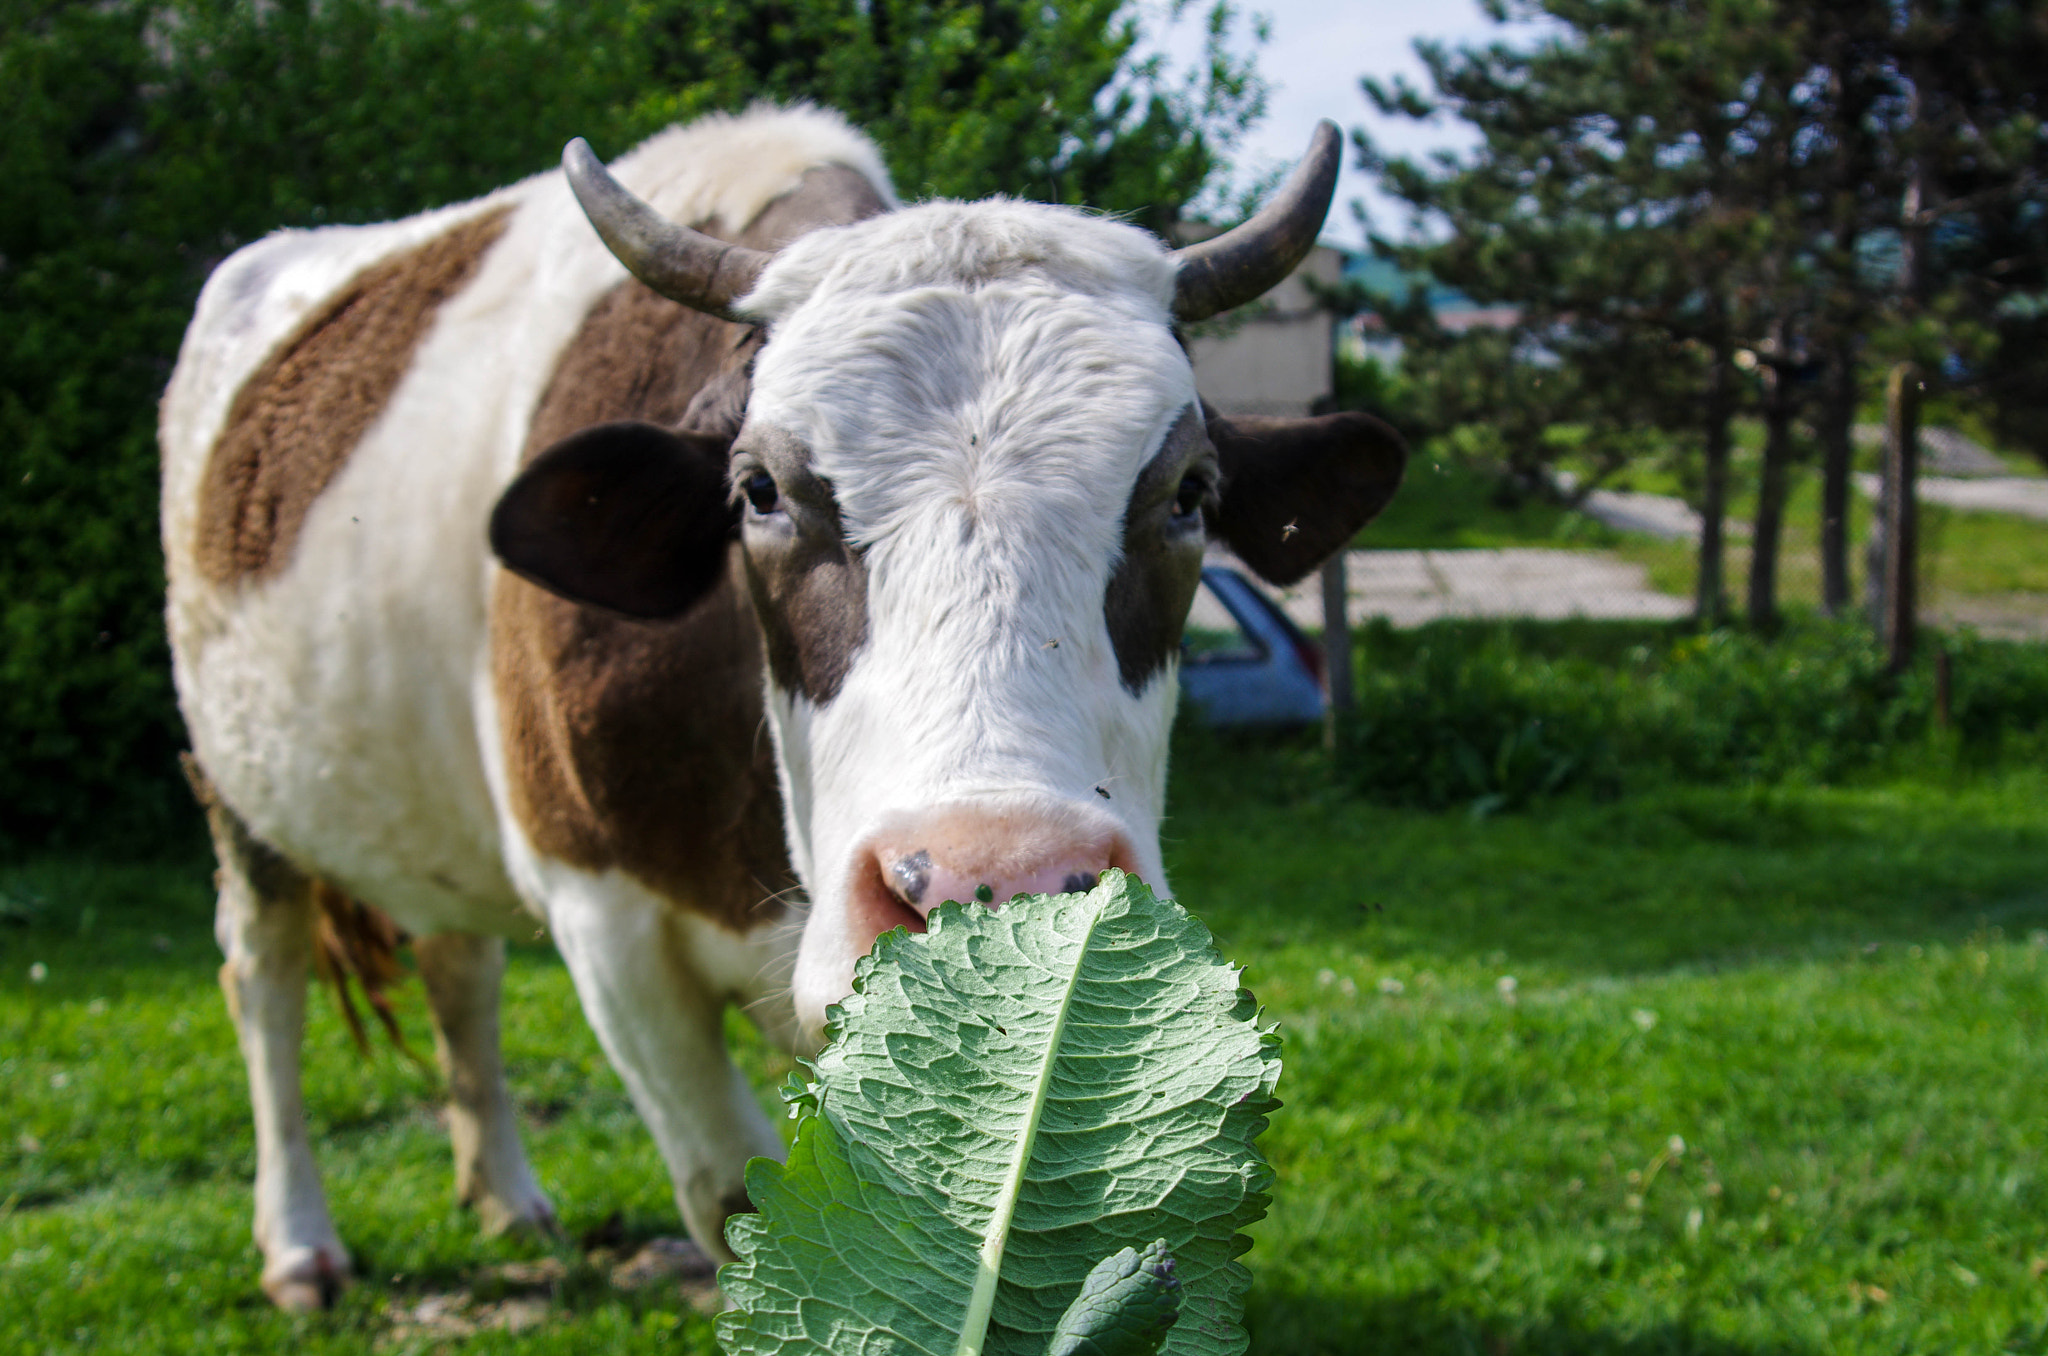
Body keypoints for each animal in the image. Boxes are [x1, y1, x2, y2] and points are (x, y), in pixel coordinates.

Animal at [159, 104, 1404, 1310]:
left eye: (1189, 494)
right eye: (757, 491)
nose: (990, 882)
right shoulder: (602, 918)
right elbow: (730, 1202)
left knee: (456, 965)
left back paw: (505, 1198)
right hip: (237, 794)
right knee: (261, 981)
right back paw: (299, 1245)